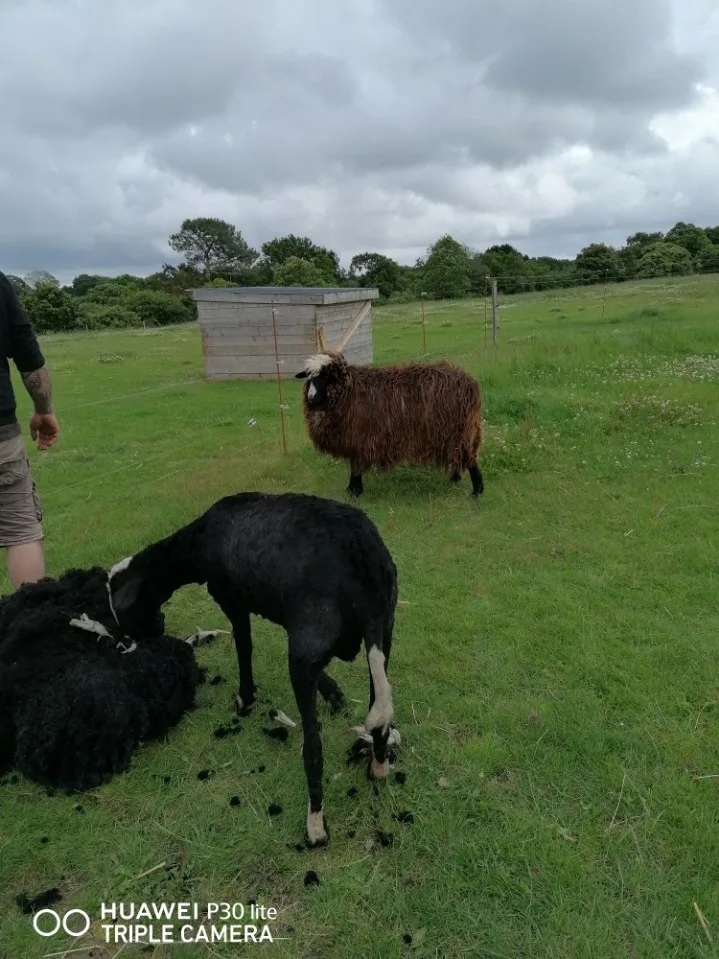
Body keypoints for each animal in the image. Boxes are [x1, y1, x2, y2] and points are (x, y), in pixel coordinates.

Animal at [106, 491, 399, 847]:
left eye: (123, 606)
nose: (127, 644)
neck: (196, 545)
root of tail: (363, 563)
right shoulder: (290, 625)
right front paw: (334, 694)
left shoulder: (235, 602)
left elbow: (244, 647)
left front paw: (244, 698)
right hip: (382, 634)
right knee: (379, 718)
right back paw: (378, 768)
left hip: (312, 640)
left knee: (313, 748)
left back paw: (315, 826)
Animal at [295, 350, 485, 497]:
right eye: (309, 378)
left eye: (326, 376)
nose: (311, 398)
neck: (348, 391)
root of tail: (469, 383)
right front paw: (352, 489)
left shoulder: (358, 437)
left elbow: (355, 467)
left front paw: (354, 491)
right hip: (453, 434)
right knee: (457, 455)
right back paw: (455, 480)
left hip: (459, 430)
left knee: (468, 458)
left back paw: (477, 491)